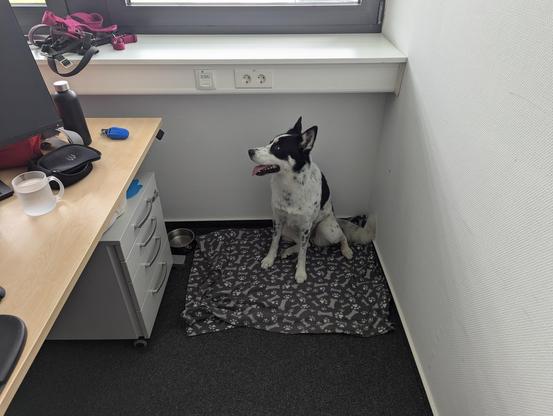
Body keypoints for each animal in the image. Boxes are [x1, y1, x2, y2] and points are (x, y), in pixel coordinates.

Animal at [248, 117, 374, 282]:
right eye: (269, 142)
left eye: (277, 148)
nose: (249, 151)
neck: (290, 184)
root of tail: (336, 220)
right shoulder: (278, 220)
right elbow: (274, 243)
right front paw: (269, 259)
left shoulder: (306, 226)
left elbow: (303, 254)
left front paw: (300, 272)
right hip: (286, 229)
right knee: (307, 244)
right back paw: (288, 251)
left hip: (327, 229)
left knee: (339, 237)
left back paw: (346, 250)